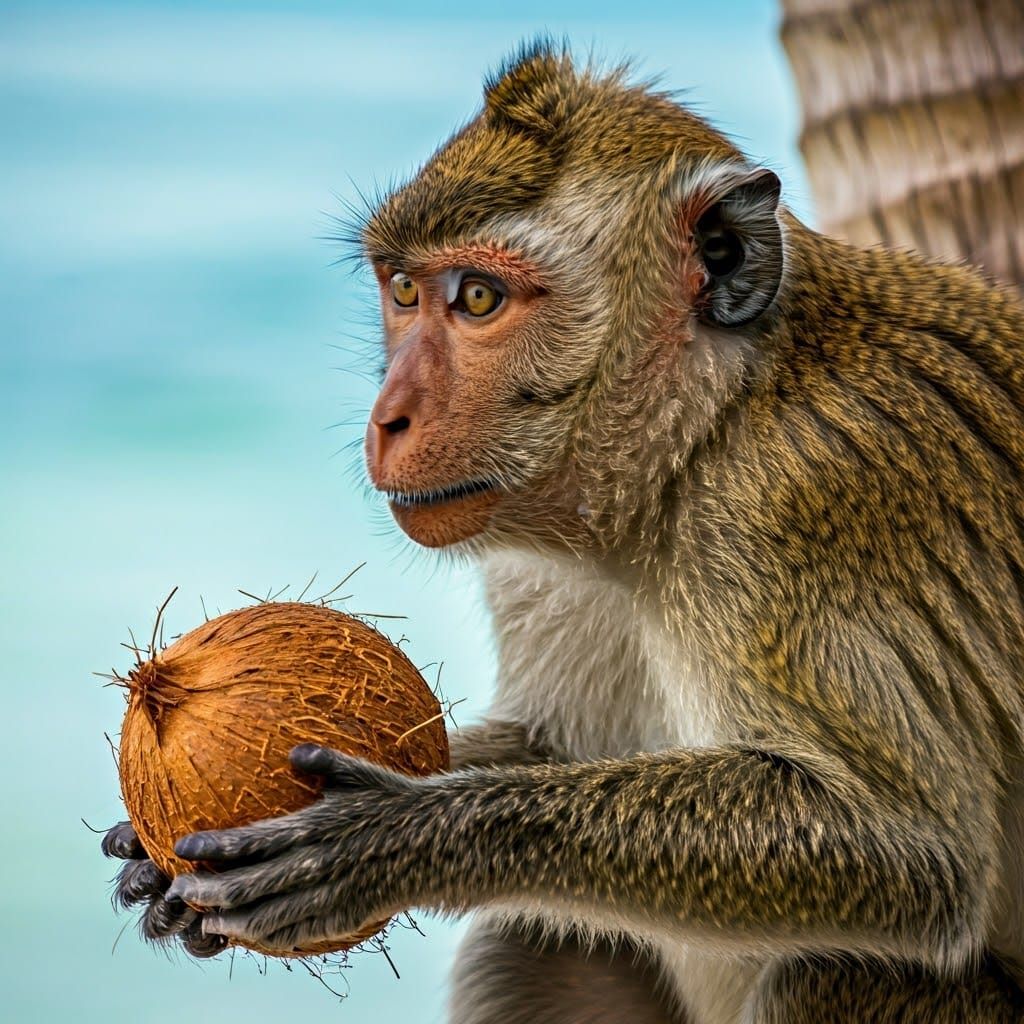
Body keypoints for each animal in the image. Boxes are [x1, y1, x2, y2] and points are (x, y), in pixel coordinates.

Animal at [103, 42, 1024, 1023]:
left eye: (477, 298)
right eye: (404, 290)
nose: (388, 417)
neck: (700, 439)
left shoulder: (802, 496)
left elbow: (910, 855)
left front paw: (395, 836)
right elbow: (556, 744)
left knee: (834, 969)